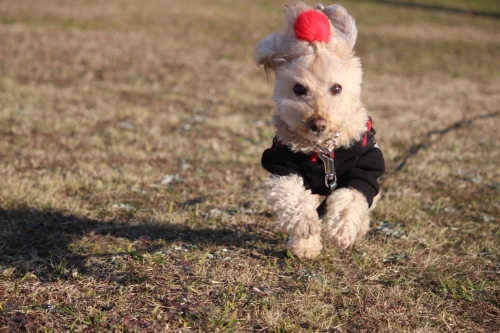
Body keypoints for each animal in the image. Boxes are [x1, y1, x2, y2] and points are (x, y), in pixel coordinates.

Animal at [256, 1, 384, 258]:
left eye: (337, 88)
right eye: (298, 88)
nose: (318, 123)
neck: (323, 149)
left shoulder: (365, 167)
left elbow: (350, 198)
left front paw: (343, 231)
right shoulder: (282, 166)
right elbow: (292, 195)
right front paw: (306, 226)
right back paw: (303, 246)